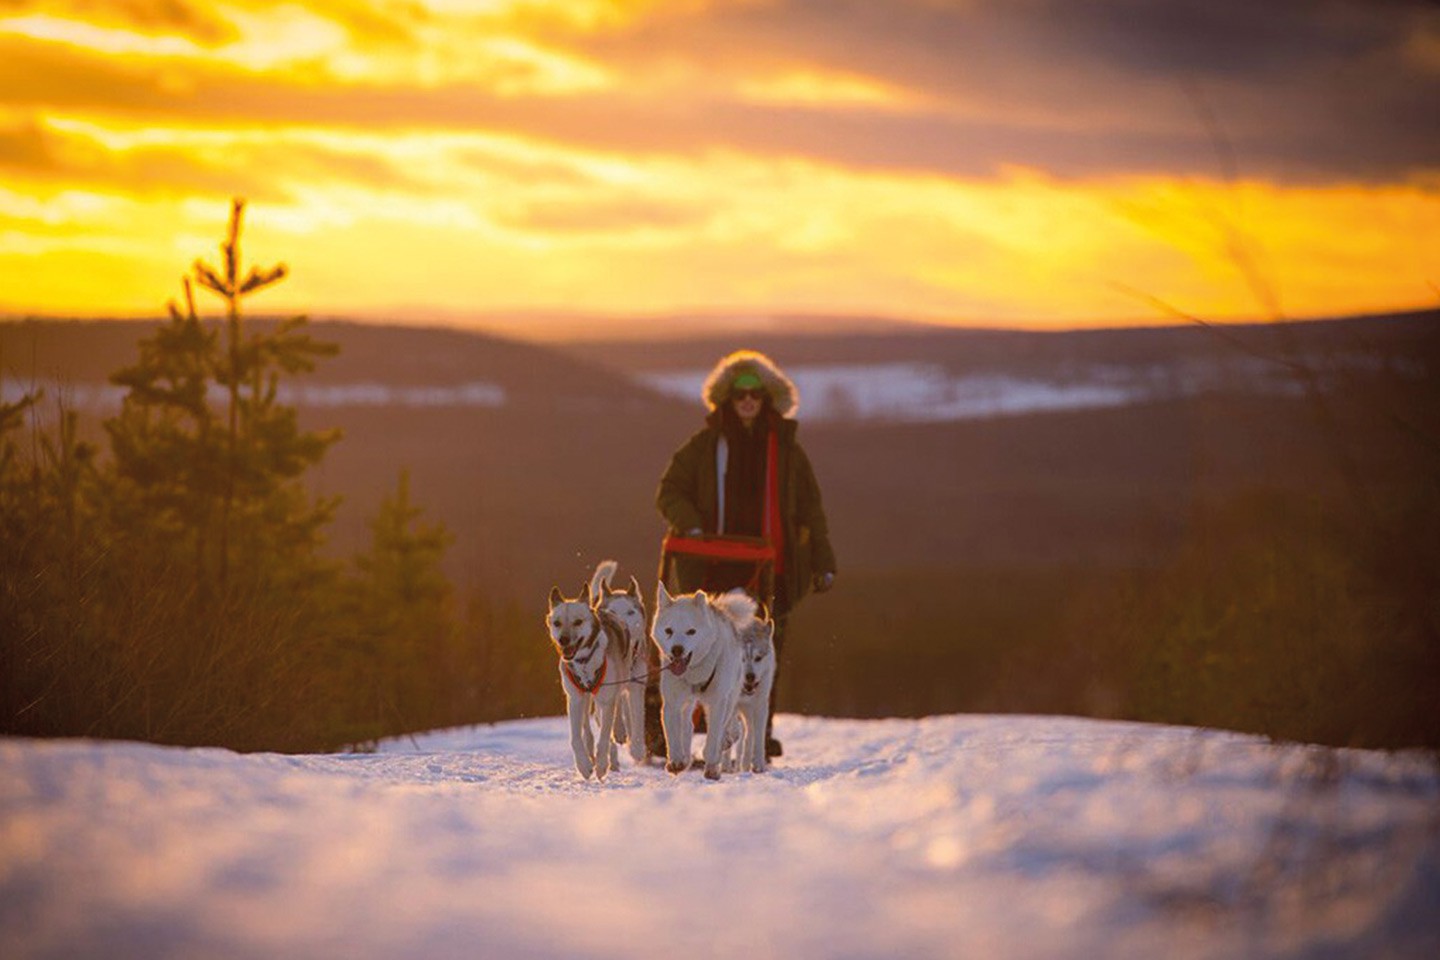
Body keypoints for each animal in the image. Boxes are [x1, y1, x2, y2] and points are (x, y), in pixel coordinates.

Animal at [544, 587, 624, 782]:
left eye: (578, 622)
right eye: (557, 623)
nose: (563, 639)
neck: (585, 663)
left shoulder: (606, 699)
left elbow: (604, 737)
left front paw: (601, 765)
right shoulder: (575, 699)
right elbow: (575, 737)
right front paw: (583, 765)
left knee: (613, 717)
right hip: (586, 700)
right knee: (586, 727)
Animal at [587, 558, 650, 759]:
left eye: (630, 612)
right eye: (612, 611)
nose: (622, 626)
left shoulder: (637, 685)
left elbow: (637, 715)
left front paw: (637, 748)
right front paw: (618, 730)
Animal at [656, 587, 760, 782]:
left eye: (691, 631)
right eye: (668, 631)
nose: (677, 649)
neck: (695, 673)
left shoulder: (717, 702)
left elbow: (713, 737)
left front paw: (712, 767)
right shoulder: (673, 702)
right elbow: (674, 733)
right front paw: (676, 760)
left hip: (730, 695)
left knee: (729, 725)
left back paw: (726, 740)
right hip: (689, 702)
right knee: (688, 725)